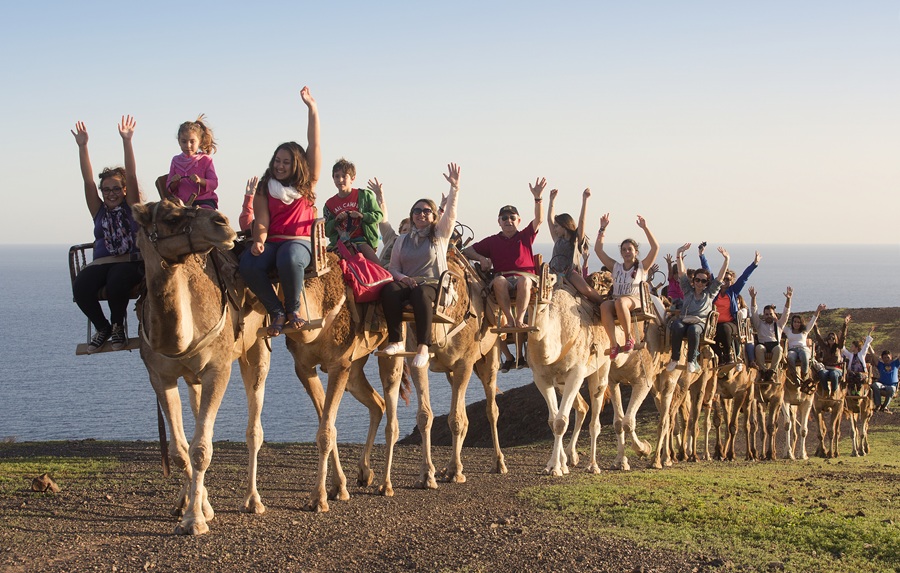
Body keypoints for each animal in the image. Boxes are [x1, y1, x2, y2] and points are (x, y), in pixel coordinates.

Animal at [374, 248, 507, 496]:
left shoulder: (465, 362)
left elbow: (455, 418)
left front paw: (455, 472)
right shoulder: (419, 362)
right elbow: (425, 416)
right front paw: (427, 475)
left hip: (490, 352)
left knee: (491, 407)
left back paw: (498, 463)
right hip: (451, 371)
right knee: (464, 411)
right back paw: (447, 468)